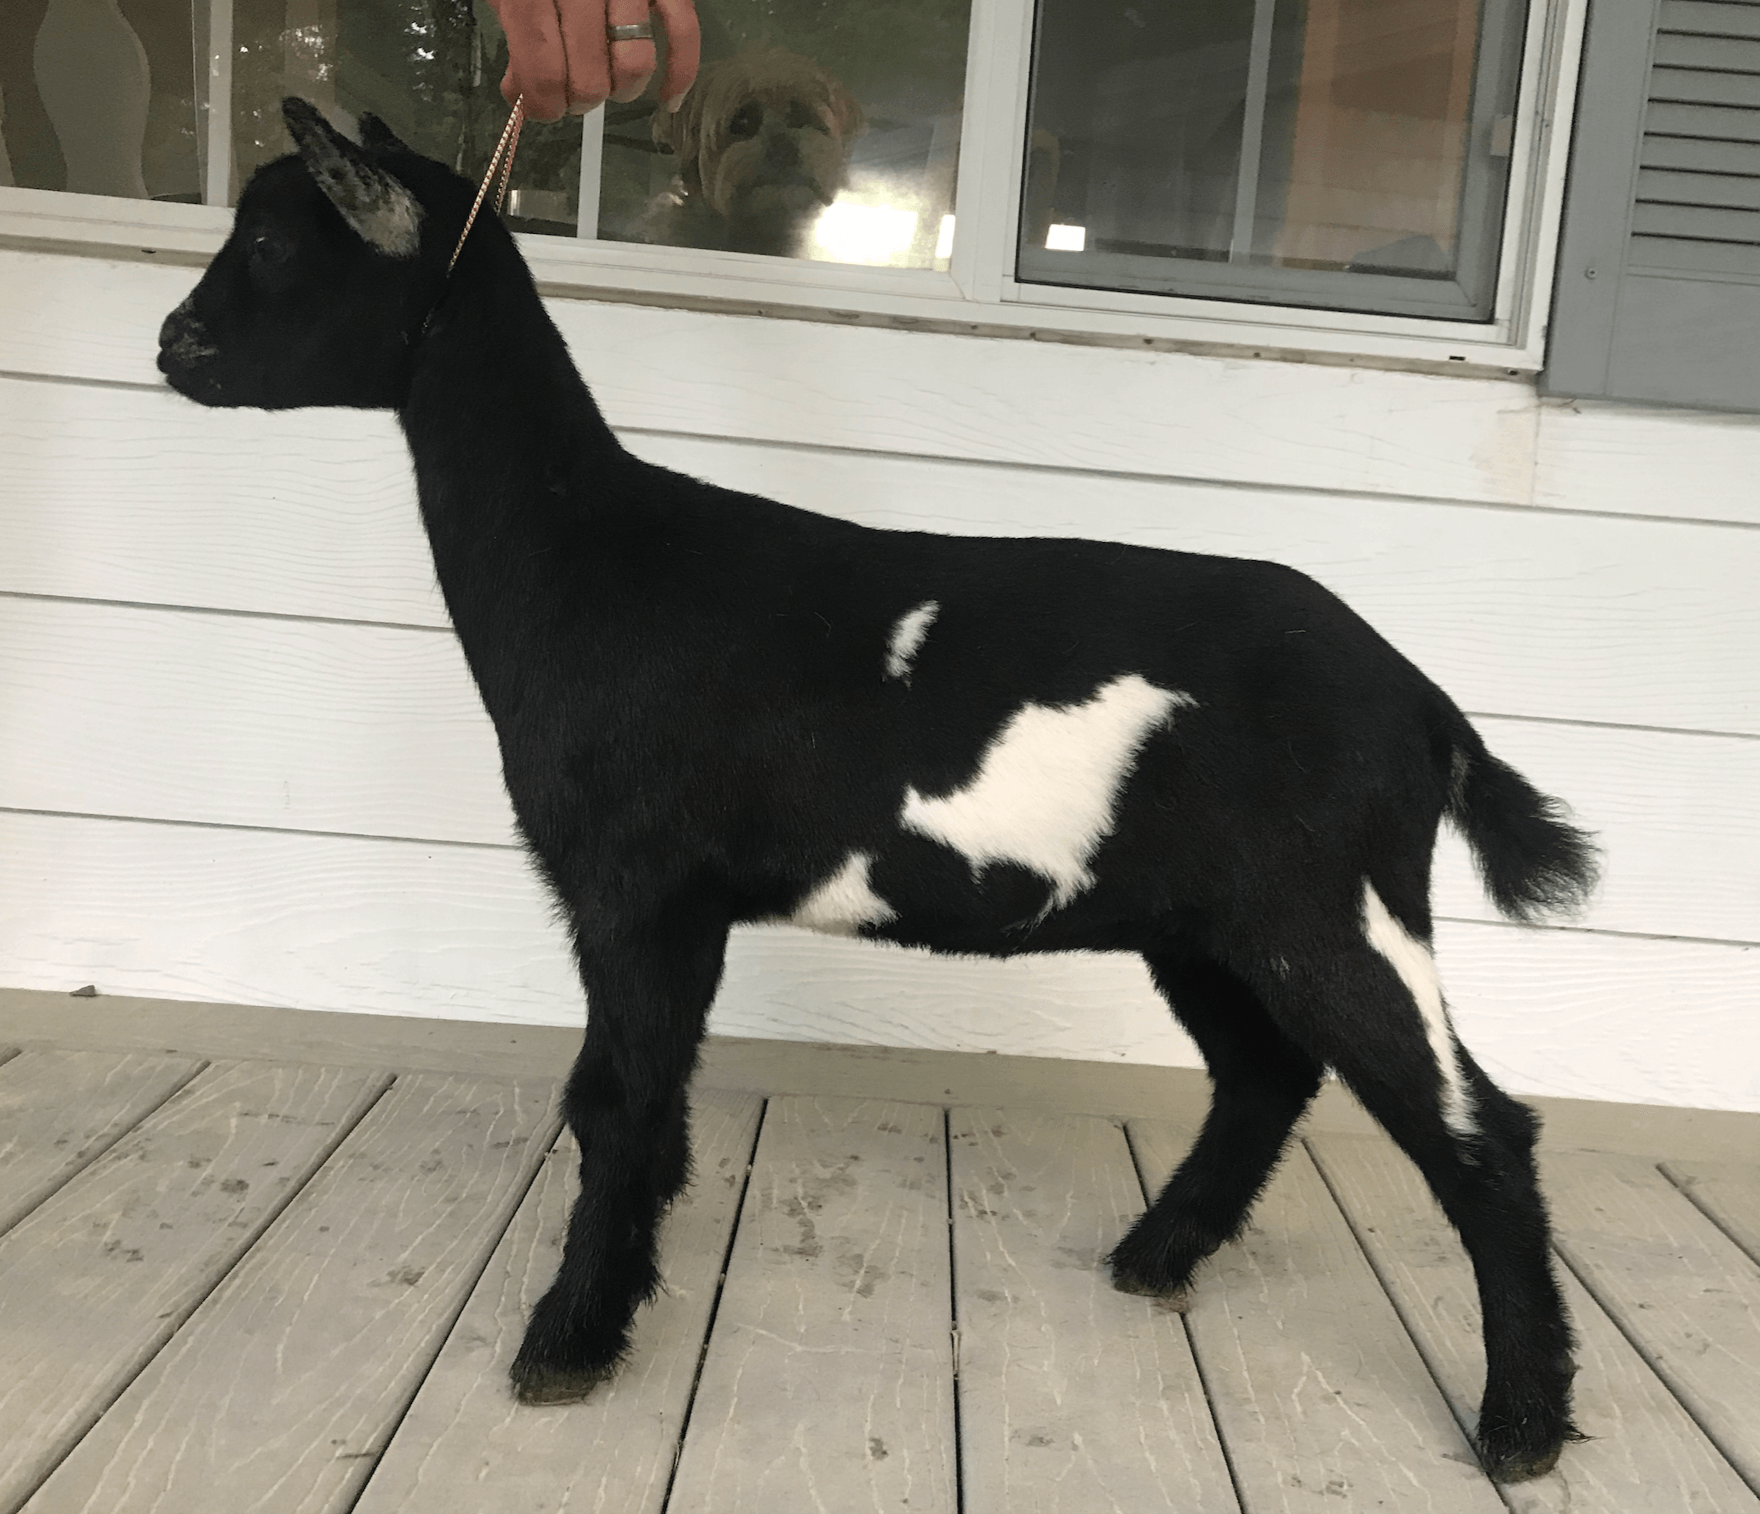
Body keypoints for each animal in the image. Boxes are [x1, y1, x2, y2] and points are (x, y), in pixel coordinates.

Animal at [157, 99, 1597, 1483]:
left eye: (274, 245)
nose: (172, 344)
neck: (592, 555)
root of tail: (1420, 702)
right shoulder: (669, 906)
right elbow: (634, 1100)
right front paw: (615, 1291)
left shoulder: (637, 887)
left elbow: (614, 1104)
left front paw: (567, 1338)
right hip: (1212, 921)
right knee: (1266, 1072)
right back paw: (1156, 1254)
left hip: (1327, 905)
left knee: (1478, 1127)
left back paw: (1520, 1422)